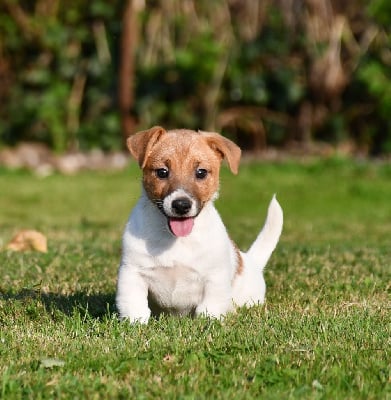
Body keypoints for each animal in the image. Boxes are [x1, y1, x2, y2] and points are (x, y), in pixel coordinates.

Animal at [115, 126, 284, 324]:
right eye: (162, 172)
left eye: (201, 172)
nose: (181, 205)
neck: (175, 240)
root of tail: (252, 261)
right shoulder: (132, 271)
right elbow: (134, 304)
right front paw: (136, 324)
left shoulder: (215, 276)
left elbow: (210, 306)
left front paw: (208, 322)